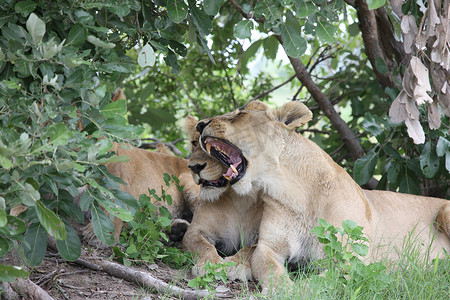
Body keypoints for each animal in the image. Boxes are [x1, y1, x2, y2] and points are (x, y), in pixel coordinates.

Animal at [189, 100, 450, 290]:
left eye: (239, 114)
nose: (200, 124)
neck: (294, 191)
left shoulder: (353, 257)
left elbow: (322, 281)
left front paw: (298, 291)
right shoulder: (268, 247)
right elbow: (269, 269)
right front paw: (282, 289)